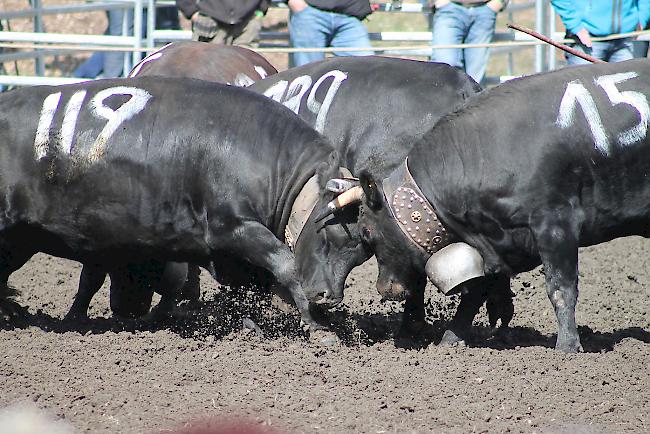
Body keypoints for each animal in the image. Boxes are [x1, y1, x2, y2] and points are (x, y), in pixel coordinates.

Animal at [0, 77, 344, 328]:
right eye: (332, 233)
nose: (328, 296)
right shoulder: (235, 228)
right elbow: (287, 265)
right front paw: (316, 324)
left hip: (20, 239)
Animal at [322, 59, 648, 352]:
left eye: (367, 232)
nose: (384, 288)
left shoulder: (555, 224)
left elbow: (560, 289)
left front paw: (567, 348)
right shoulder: (495, 244)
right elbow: (475, 292)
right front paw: (450, 341)